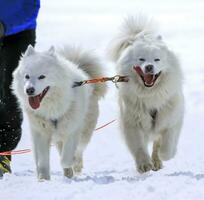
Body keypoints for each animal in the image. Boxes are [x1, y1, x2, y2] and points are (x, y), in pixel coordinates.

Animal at [11, 45, 107, 180]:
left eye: (42, 76)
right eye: (27, 76)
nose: (29, 90)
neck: (51, 109)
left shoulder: (72, 130)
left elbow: (65, 159)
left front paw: (70, 163)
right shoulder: (41, 132)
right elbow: (42, 161)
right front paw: (43, 178)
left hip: (84, 132)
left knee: (78, 150)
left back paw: (75, 167)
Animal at [108, 15, 185, 173]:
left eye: (157, 59)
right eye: (141, 59)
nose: (149, 67)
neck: (151, 95)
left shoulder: (171, 117)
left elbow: (168, 142)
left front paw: (164, 155)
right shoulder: (133, 121)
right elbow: (138, 146)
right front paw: (144, 165)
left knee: (157, 141)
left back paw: (157, 160)